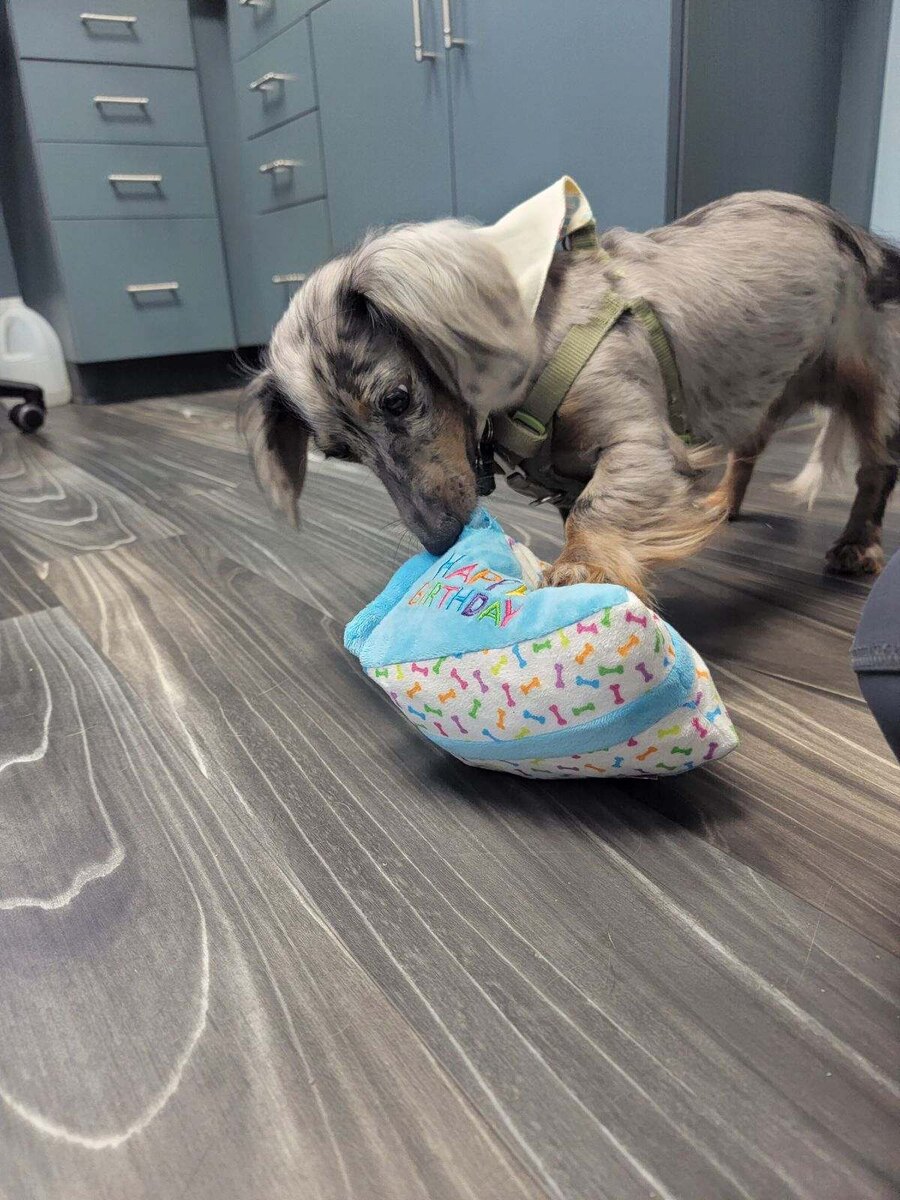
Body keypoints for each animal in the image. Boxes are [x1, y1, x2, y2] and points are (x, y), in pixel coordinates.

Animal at [241, 187, 900, 601]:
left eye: (397, 400)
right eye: (340, 456)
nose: (439, 541)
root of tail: (861, 236)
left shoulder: (641, 444)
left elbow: (597, 508)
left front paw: (583, 569)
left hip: (874, 393)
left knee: (875, 471)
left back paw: (856, 545)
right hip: (760, 388)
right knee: (749, 447)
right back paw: (723, 505)